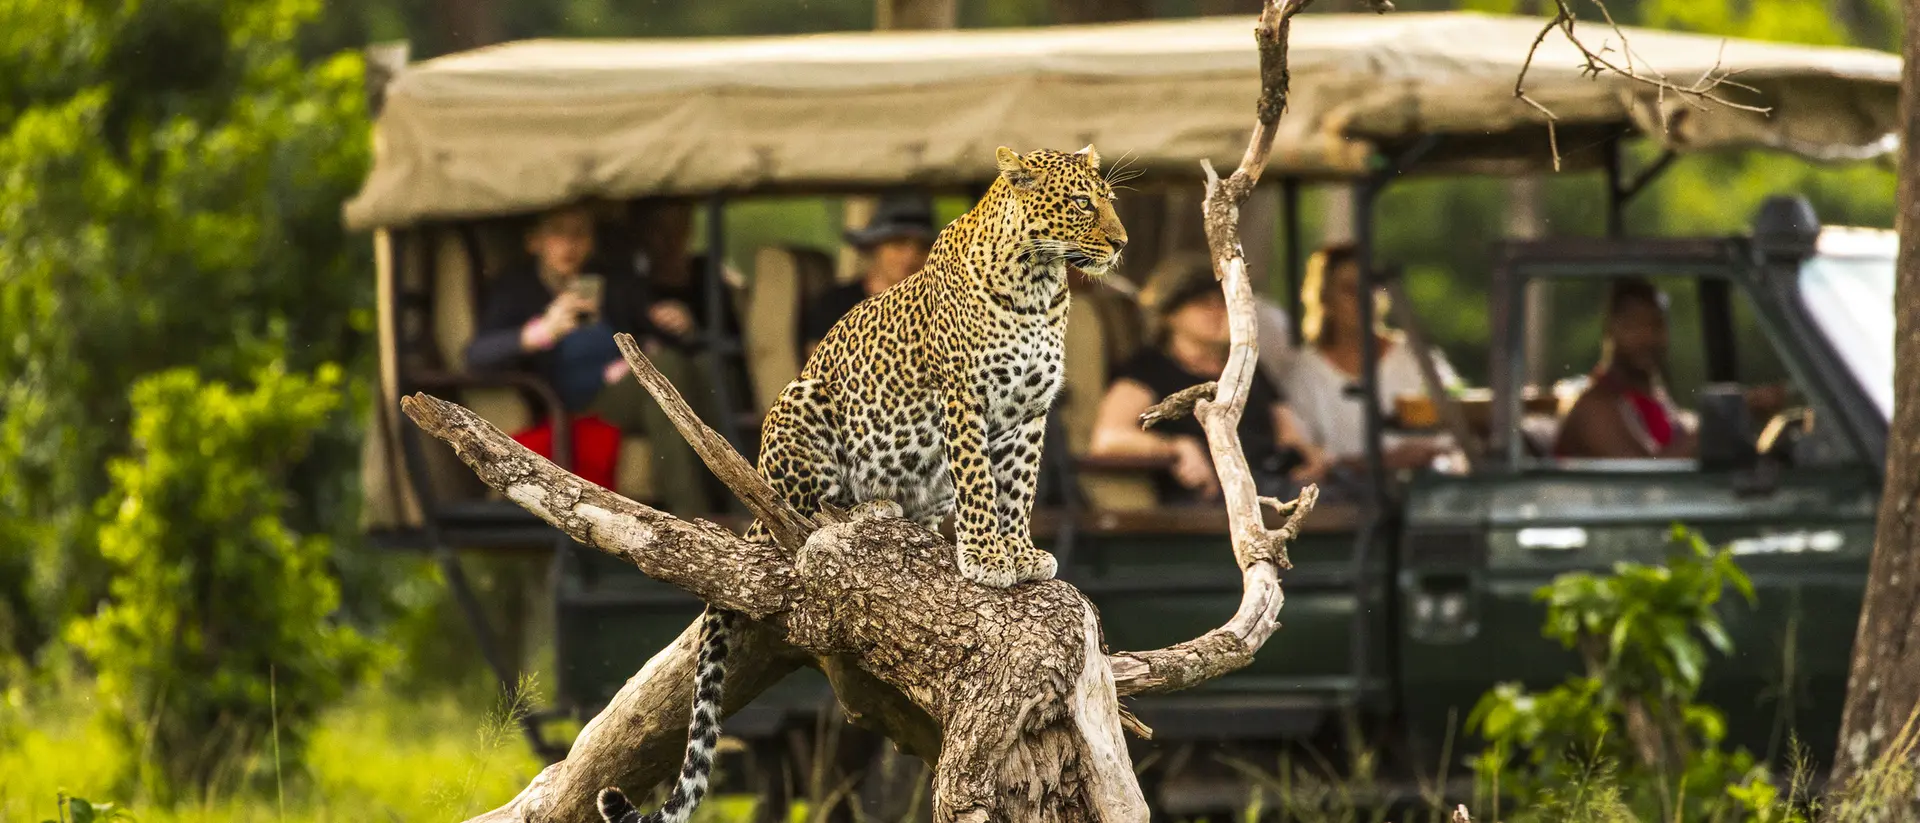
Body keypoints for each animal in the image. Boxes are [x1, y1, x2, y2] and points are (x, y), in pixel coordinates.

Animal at [597, 145, 1127, 823]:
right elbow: (980, 485)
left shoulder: (1030, 414)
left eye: (1109, 200)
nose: (1121, 242)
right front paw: (986, 559)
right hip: (801, 404)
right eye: (1083, 203)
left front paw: (1020, 554)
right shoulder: (964, 399)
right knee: (799, 515)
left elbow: (1018, 489)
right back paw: (857, 510)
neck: (1036, 285)